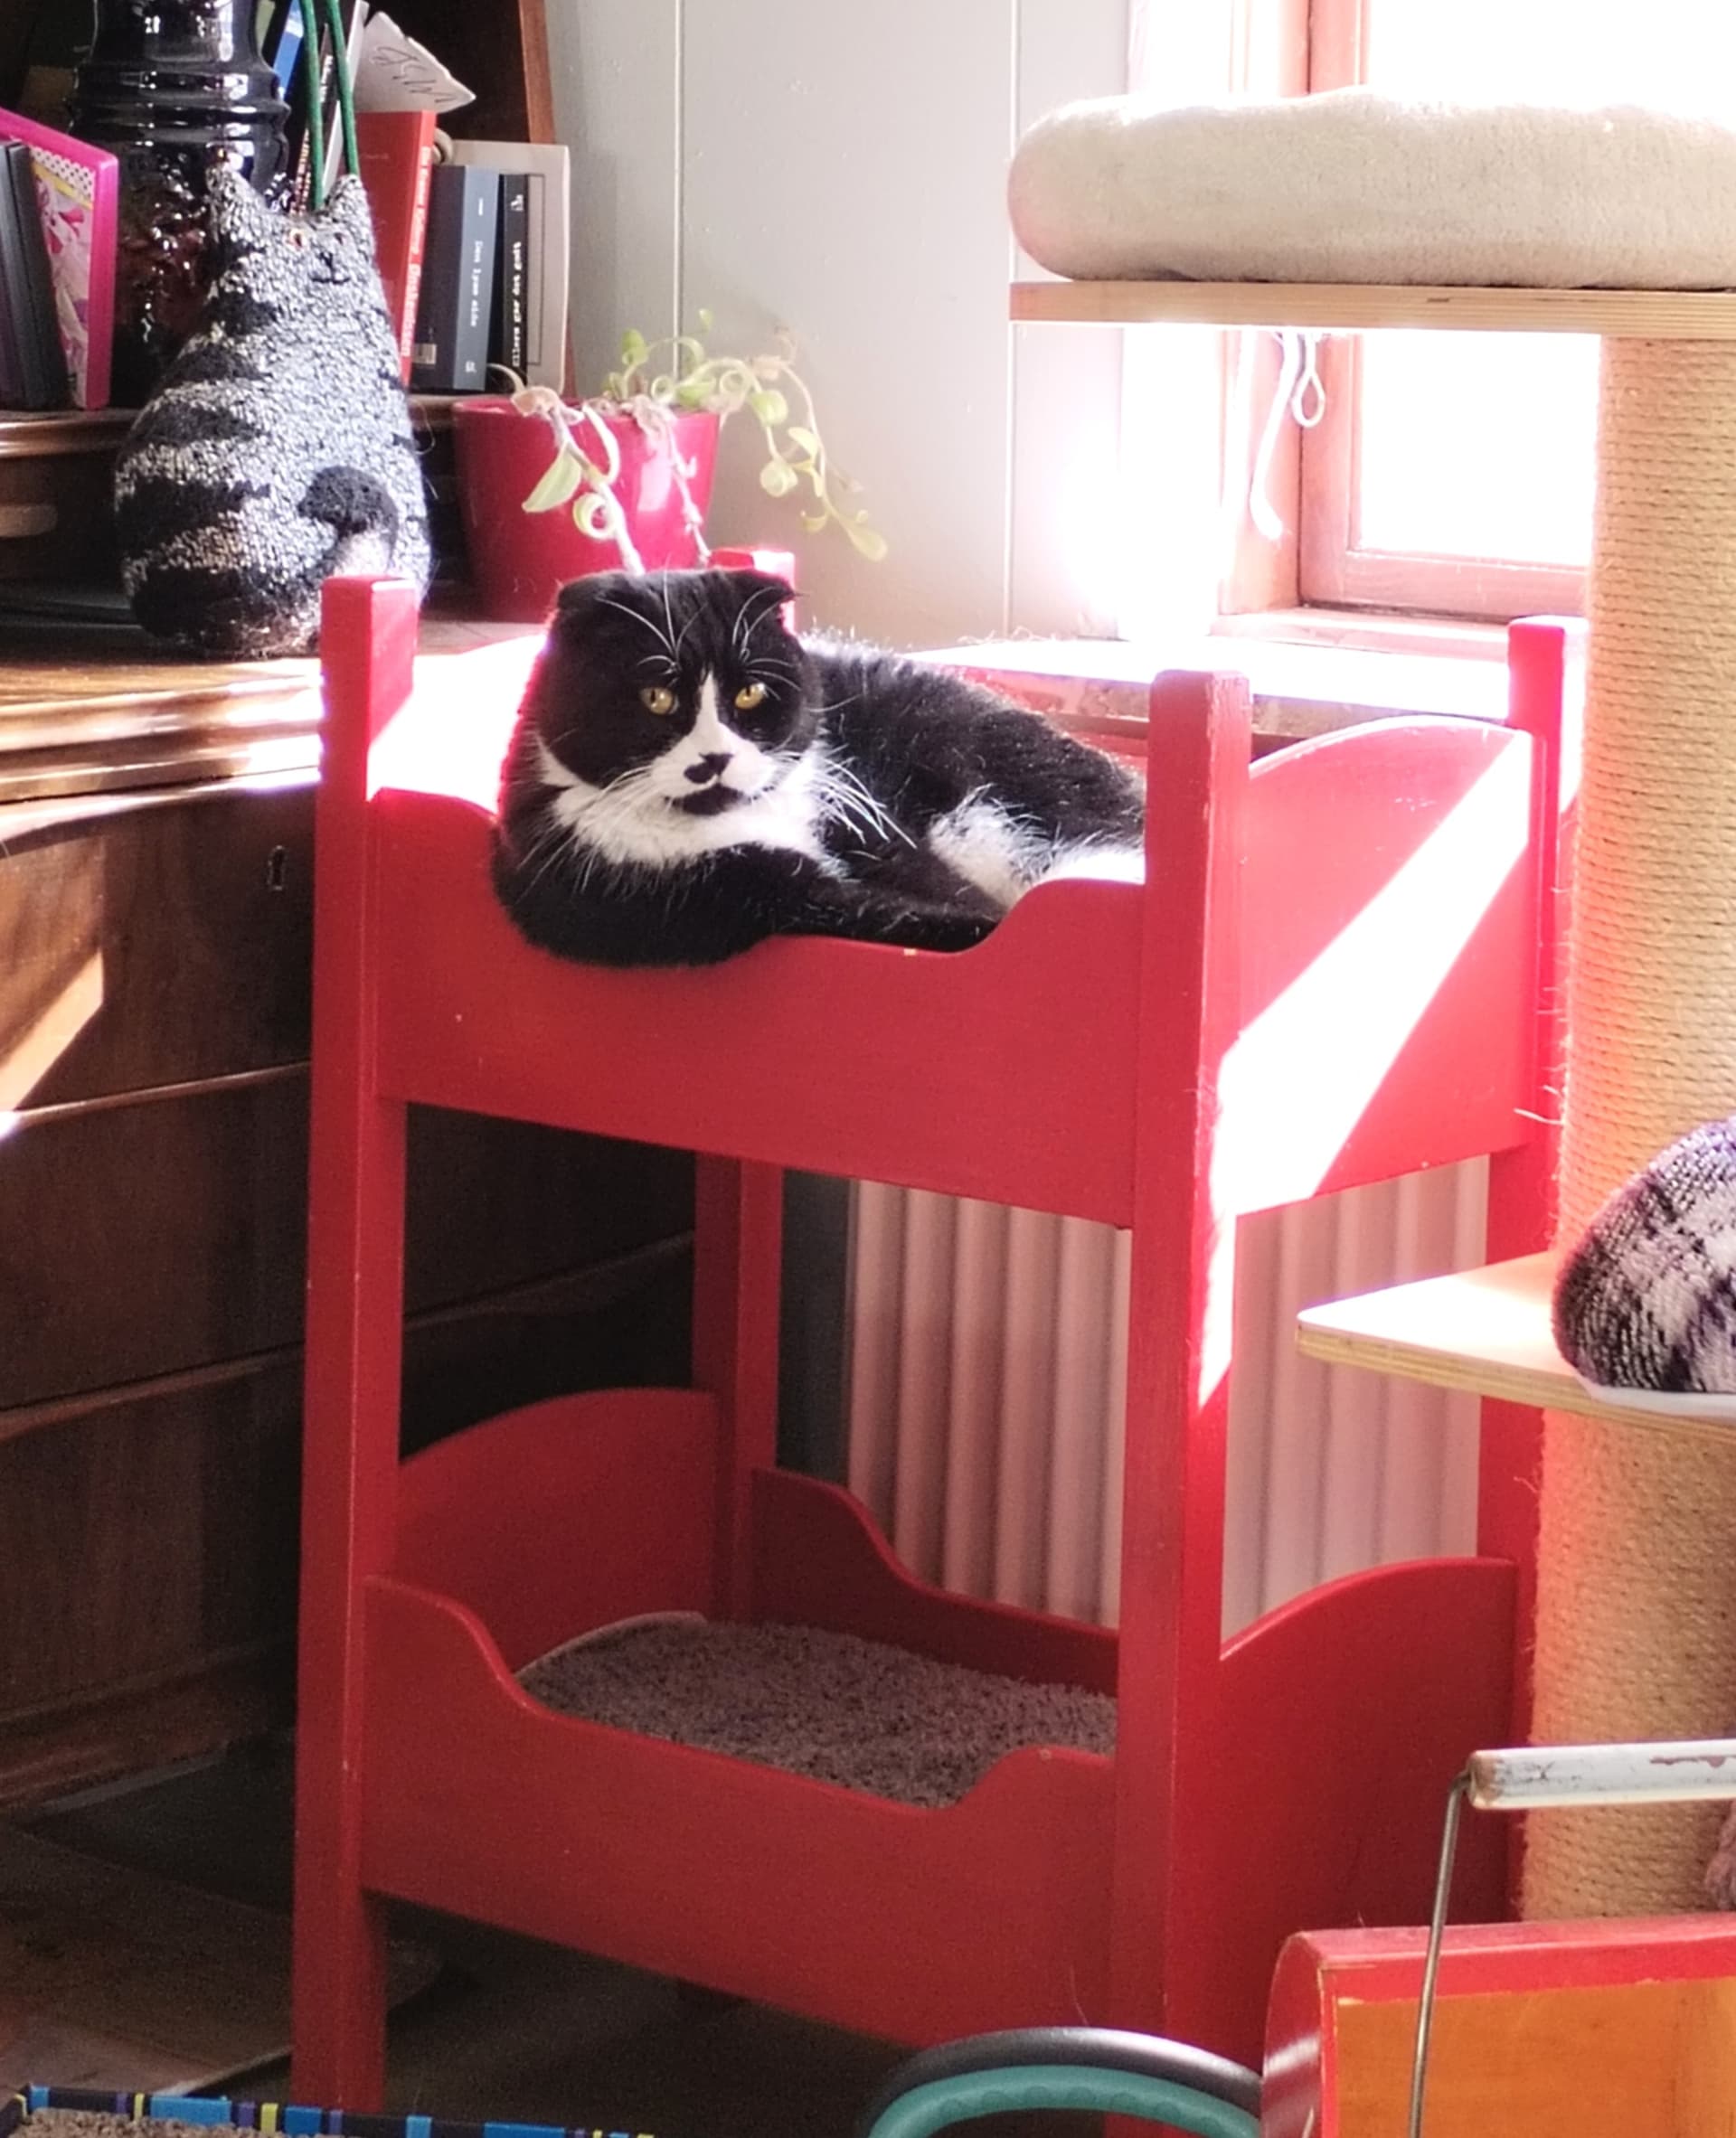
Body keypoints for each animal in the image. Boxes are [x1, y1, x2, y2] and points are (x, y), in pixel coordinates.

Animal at [492, 567, 1146, 968]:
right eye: (657, 697)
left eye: (751, 693)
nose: (715, 758)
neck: (729, 824)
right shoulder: (720, 891)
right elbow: (912, 915)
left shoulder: (866, 824)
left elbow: (950, 894)